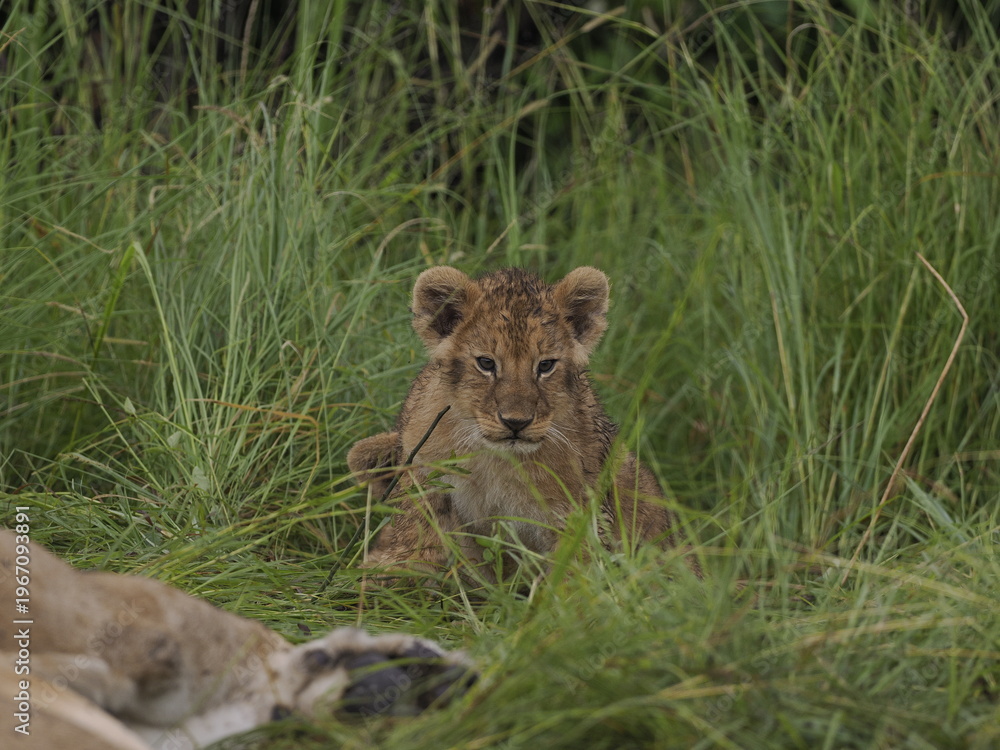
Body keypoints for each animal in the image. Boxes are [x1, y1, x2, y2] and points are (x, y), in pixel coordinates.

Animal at [348, 266, 699, 581]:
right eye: (486, 363)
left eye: (545, 365)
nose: (515, 422)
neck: (495, 461)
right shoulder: (424, 477)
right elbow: (417, 538)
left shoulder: (577, 513)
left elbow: (574, 576)